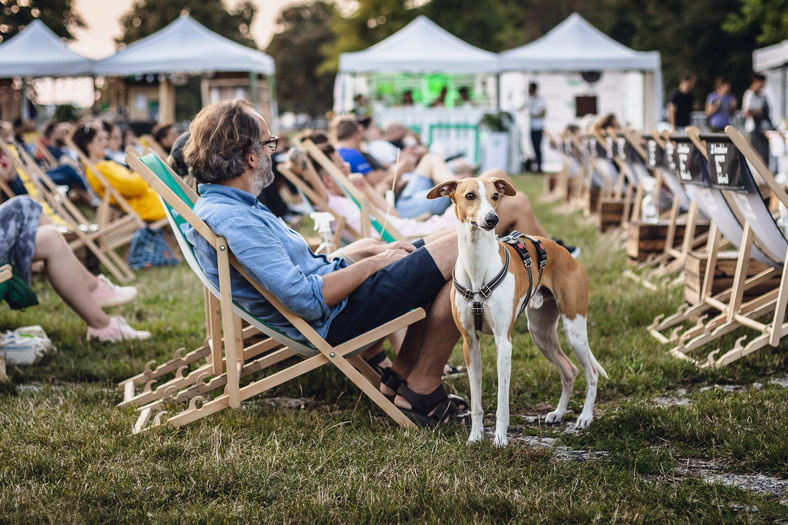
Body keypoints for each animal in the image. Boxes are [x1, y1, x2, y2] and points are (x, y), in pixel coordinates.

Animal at [428, 178, 608, 444]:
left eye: (495, 196)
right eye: (470, 195)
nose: (492, 219)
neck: (477, 264)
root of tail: (569, 256)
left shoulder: (504, 342)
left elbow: (502, 402)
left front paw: (500, 440)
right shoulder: (469, 343)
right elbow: (476, 401)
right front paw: (475, 437)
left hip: (574, 329)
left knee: (591, 373)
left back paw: (585, 417)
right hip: (541, 334)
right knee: (569, 370)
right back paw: (558, 413)